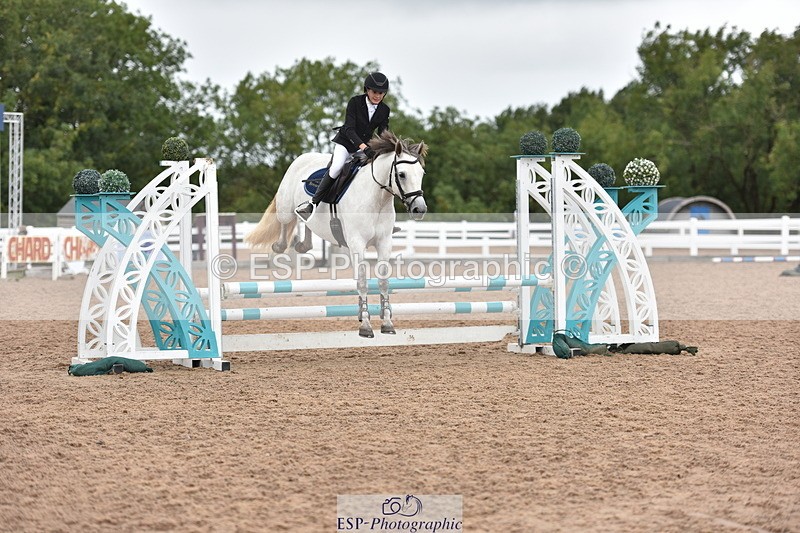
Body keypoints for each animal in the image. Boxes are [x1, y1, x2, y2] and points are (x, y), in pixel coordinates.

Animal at [245, 131, 428, 338]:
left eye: (421, 173)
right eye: (402, 174)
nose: (419, 209)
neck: (377, 199)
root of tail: (302, 157)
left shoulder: (384, 243)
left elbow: (383, 282)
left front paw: (387, 323)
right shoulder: (357, 243)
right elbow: (363, 282)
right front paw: (366, 325)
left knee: (307, 222)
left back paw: (303, 244)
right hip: (285, 207)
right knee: (287, 222)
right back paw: (281, 245)